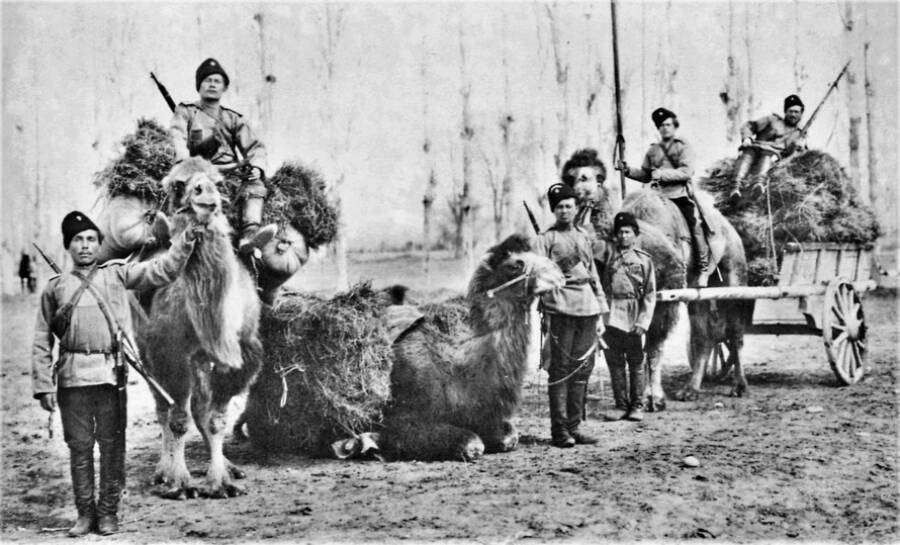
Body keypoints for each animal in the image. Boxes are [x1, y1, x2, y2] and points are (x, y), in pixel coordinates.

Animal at [135, 157, 264, 498]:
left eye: (219, 182)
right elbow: (177, 419)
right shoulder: (170, 354)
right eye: (178, 185)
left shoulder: (238, 356)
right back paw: (162, 471)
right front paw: (179, 482)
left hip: (201, 360)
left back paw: (229, 467)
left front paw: (221, 481)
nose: (205, 196)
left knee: (199, 408)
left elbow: (215, 418)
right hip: (148, 352)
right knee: (164, 409)